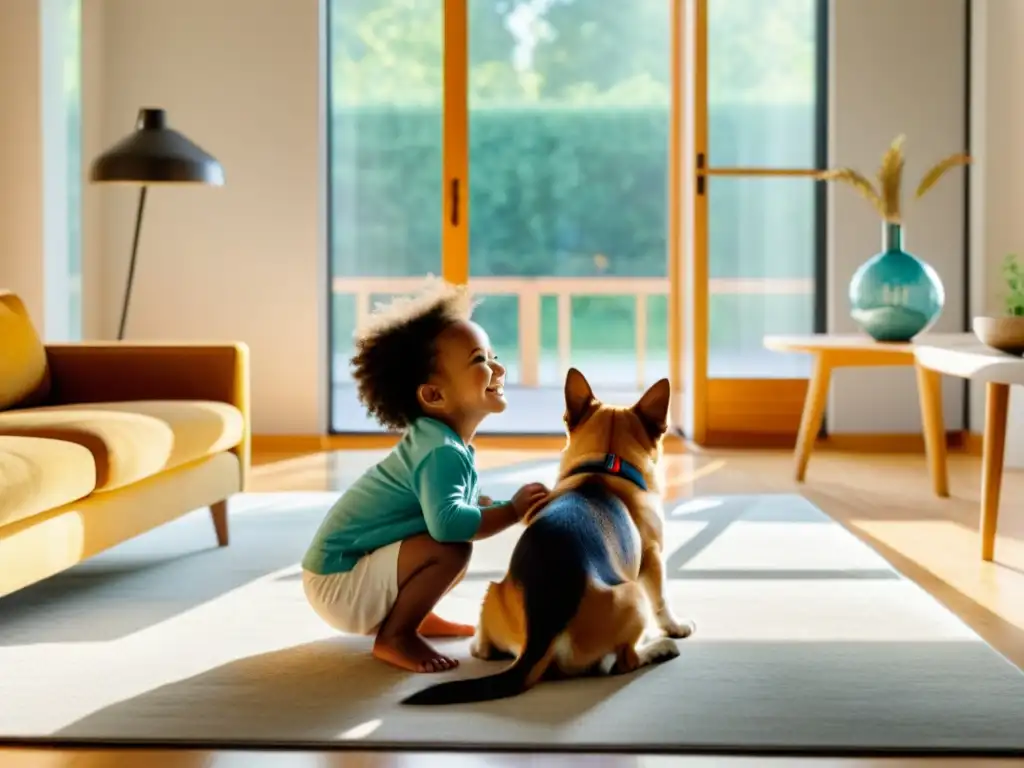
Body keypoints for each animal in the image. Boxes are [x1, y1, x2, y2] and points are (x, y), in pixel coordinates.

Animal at [401, 370, 696, 708]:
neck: (604, 467)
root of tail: (543, 628)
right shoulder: (653, 555)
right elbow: (662, 599)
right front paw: (675, 628)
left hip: (493, 590)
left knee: (487, 649)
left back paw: (478, 644)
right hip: (633, 596)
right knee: (623, 661)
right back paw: (659, 648)